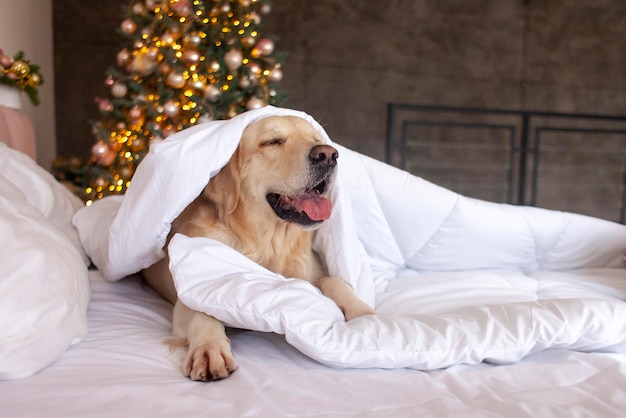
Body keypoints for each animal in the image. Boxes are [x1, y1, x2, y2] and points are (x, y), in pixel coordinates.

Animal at [141, 115, 372, 382]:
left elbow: (333, 280)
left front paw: (364, 313)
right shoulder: (194, 283)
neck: (265, 244)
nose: (328, 155)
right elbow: (201, 311)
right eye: (273, 141)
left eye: (316, 140)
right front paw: (209, 347)